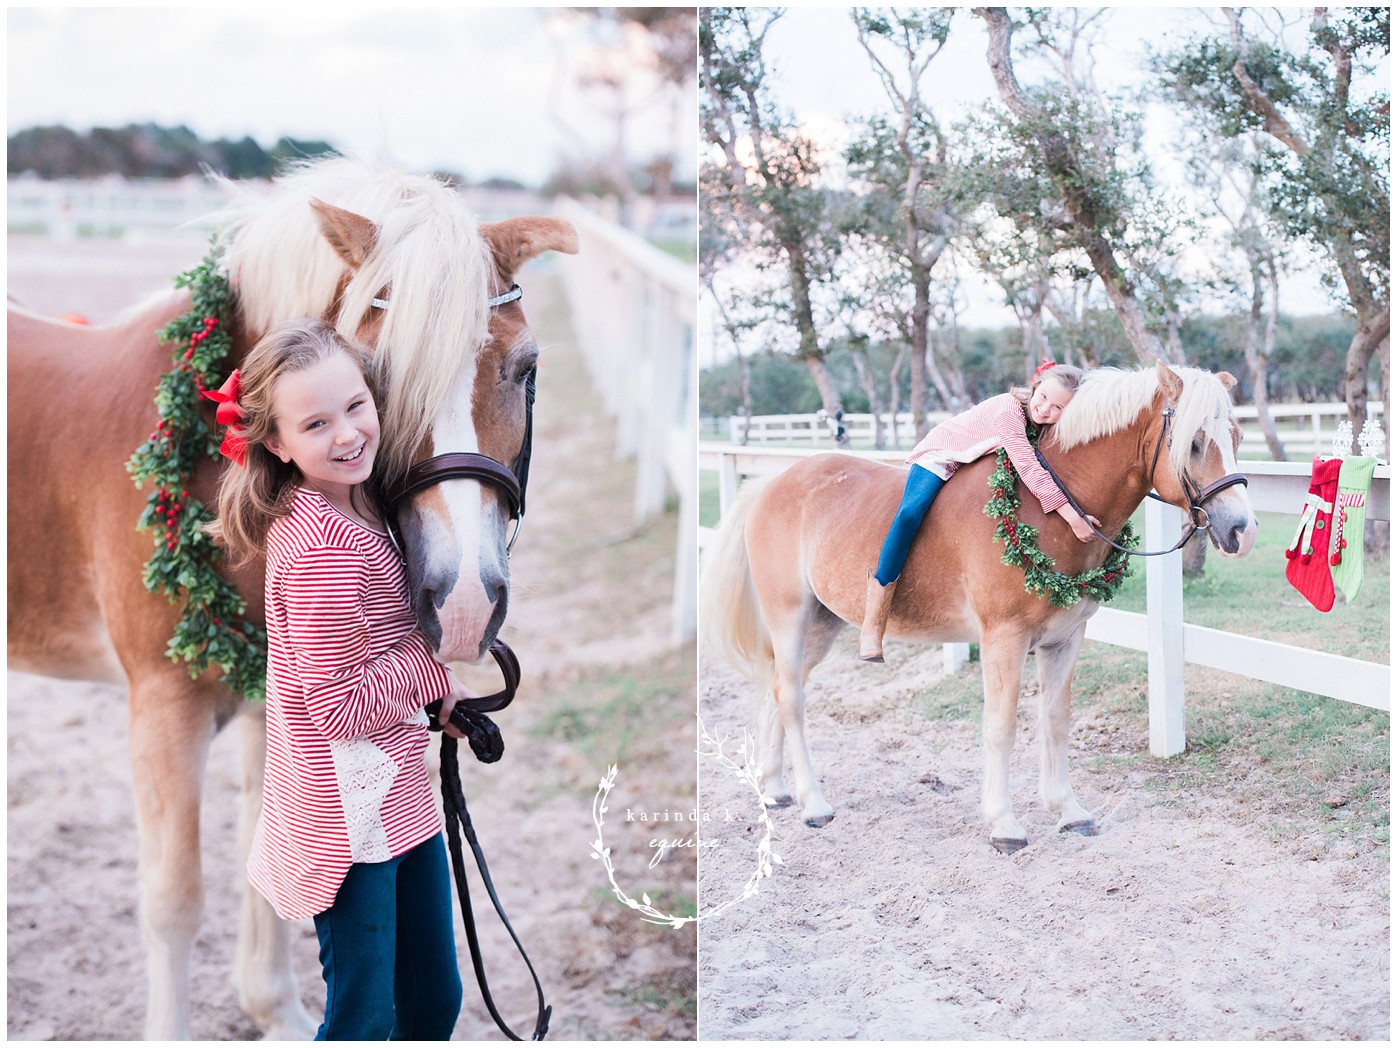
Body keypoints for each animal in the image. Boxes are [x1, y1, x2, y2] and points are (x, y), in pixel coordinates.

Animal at [7, 157, 578, 1039]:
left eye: (526, 369)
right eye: (374, 374)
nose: (464, 604)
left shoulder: (272, 702)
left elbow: (274, 856)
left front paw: (272, 1009)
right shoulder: (163, 708)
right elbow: (173, 902)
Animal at [702, 362, 1259, 854]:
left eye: (1235, 435)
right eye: (1194, 442)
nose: (1242, 530)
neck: (1046, 509)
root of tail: (770, 485)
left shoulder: (1065, 640)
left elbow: (1056, 720)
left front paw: (1068, 810)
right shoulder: (1003, 640)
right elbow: (1002, 725)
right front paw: (1004, 824)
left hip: (821, 624)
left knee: (778, 690)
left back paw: (776, 790)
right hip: (790, 617)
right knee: (792, 698)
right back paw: (814, 803)